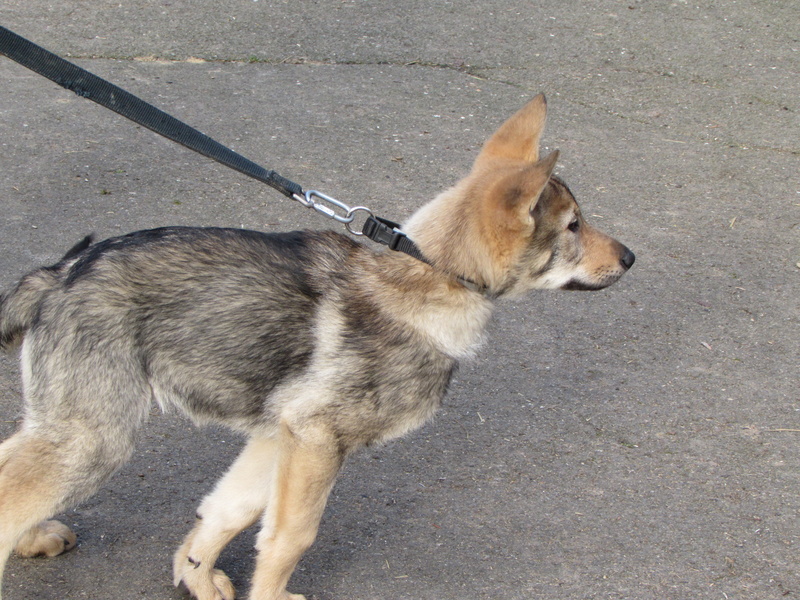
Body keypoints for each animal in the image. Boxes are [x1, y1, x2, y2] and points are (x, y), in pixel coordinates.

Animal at [0, 96, 636, 596]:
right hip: (93, 440)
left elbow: (225, 514)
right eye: (573, 227)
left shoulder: (278, 435)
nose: (631, 257)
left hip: (65, 427)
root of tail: (59, 275)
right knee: (13, 493)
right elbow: (290, 538)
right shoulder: (316, 441)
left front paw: (197, 577)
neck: (427, 280)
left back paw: (35, 538)